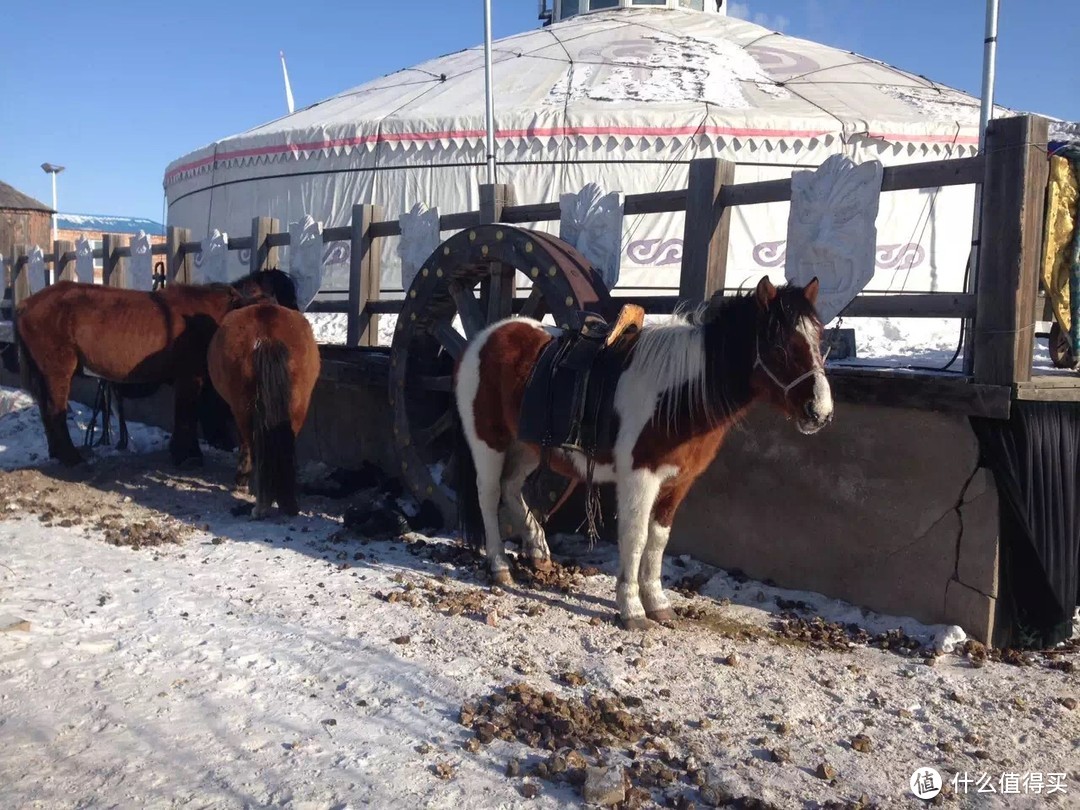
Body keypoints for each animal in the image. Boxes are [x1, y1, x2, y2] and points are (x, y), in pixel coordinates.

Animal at [13, 270, 300, 466]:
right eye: (282, 304)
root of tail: (25, 304)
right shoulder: (189, 377)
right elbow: (187, 413)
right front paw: (188, 455)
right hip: (57, 371)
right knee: (54, 410)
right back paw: (71, 457)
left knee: (46, 410)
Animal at [204, 300, 317, 520]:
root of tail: (267, 336)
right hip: (297, 408)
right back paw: (286, 503)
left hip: (243, 410)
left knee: (253, 446)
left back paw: (258, 503)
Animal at [455, 276, 833, 630]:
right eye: (779, 346)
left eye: (818, 340)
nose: (820, 412)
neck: (678, 396)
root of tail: (486, 336)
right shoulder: (640, 478)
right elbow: (635, 539)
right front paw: (632, 609)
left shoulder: (678, 482)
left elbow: (658, 540)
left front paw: (658, 602)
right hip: (488, 442)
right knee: (489, 496)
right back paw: (500, 566)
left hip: (527, 446)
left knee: (511, 487)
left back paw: (537, 547)